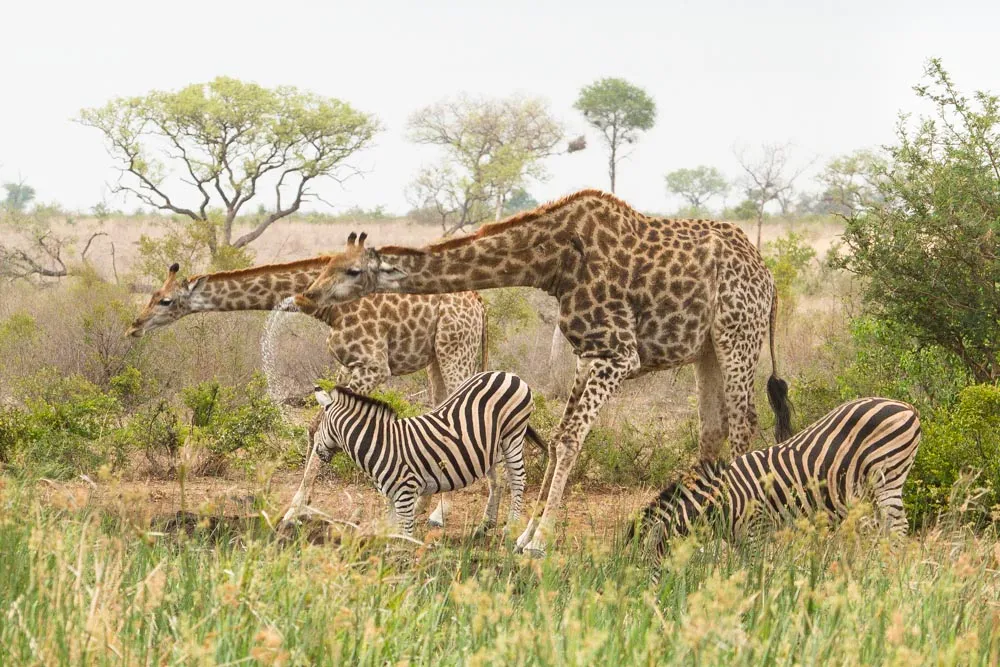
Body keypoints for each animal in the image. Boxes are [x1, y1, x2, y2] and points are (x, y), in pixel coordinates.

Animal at [125, 258, 488, 527]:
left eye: (166, 300)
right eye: (153, 294)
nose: (135, 325)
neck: (328, 306)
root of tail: (479, 303)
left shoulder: (373, 365)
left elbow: (327, 425)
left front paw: (294, 511)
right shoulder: (348, 364)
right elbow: (317, 426)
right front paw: (301, 506)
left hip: (456, 348)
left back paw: (451, 513)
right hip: (435, 359)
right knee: (440, 411)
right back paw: (430, 504)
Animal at [310, 370, 544, 537]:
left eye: (320, 424)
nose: (319, 452)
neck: (380, 443)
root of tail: (509, 374)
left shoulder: (405, 494)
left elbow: (404, 537)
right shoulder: (392, 498)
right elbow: (390, 536)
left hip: (513, 435)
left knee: (517, 479)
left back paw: (510, 527)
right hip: (492, 446)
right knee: (498, 482)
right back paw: (485, 526)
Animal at [628, 397, 921, 557]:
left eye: (649, 564)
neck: (725, 501)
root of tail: (907, 406)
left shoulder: (757, 531)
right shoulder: (740, 542)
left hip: (888, 474)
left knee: (898, 525)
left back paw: (885, 570)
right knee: (885, 526)